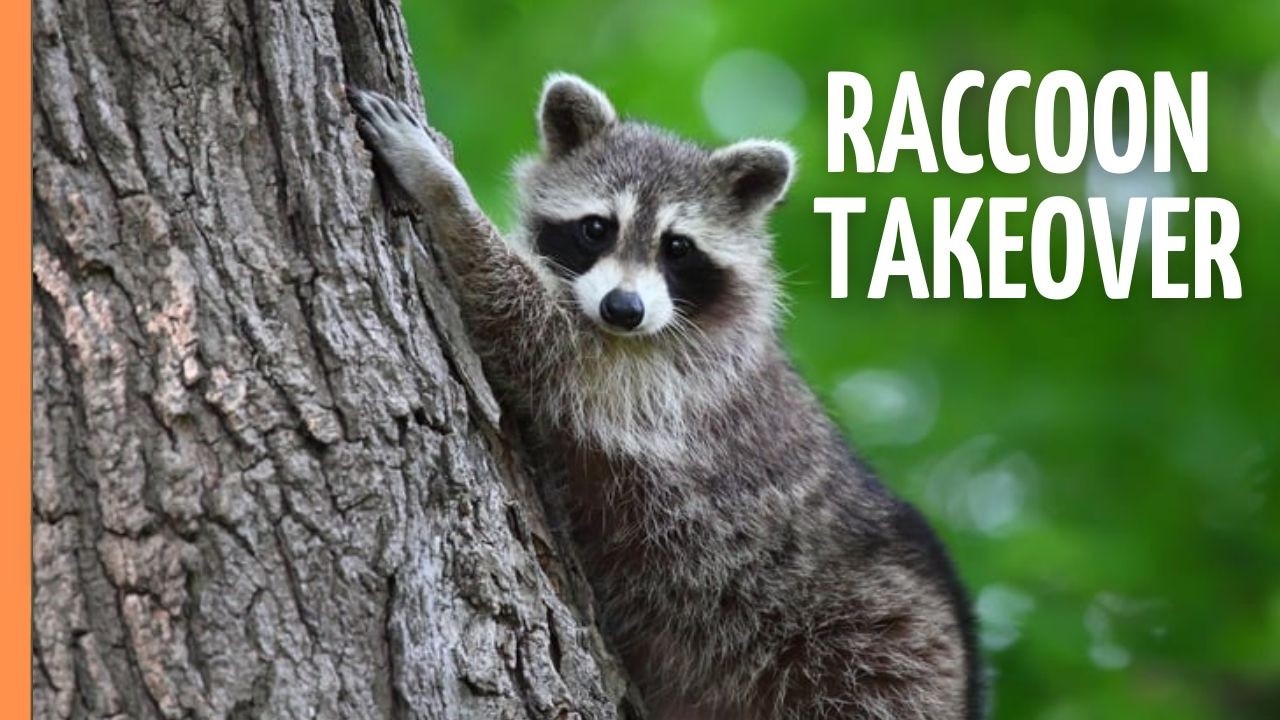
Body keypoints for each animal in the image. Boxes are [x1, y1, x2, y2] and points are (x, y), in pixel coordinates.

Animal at [349, 75, 983, 720]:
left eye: (677, 247)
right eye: (597, 228)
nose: (623, 309)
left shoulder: (670, 380)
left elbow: (533, 329)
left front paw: (444, 191)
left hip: (868, 662)